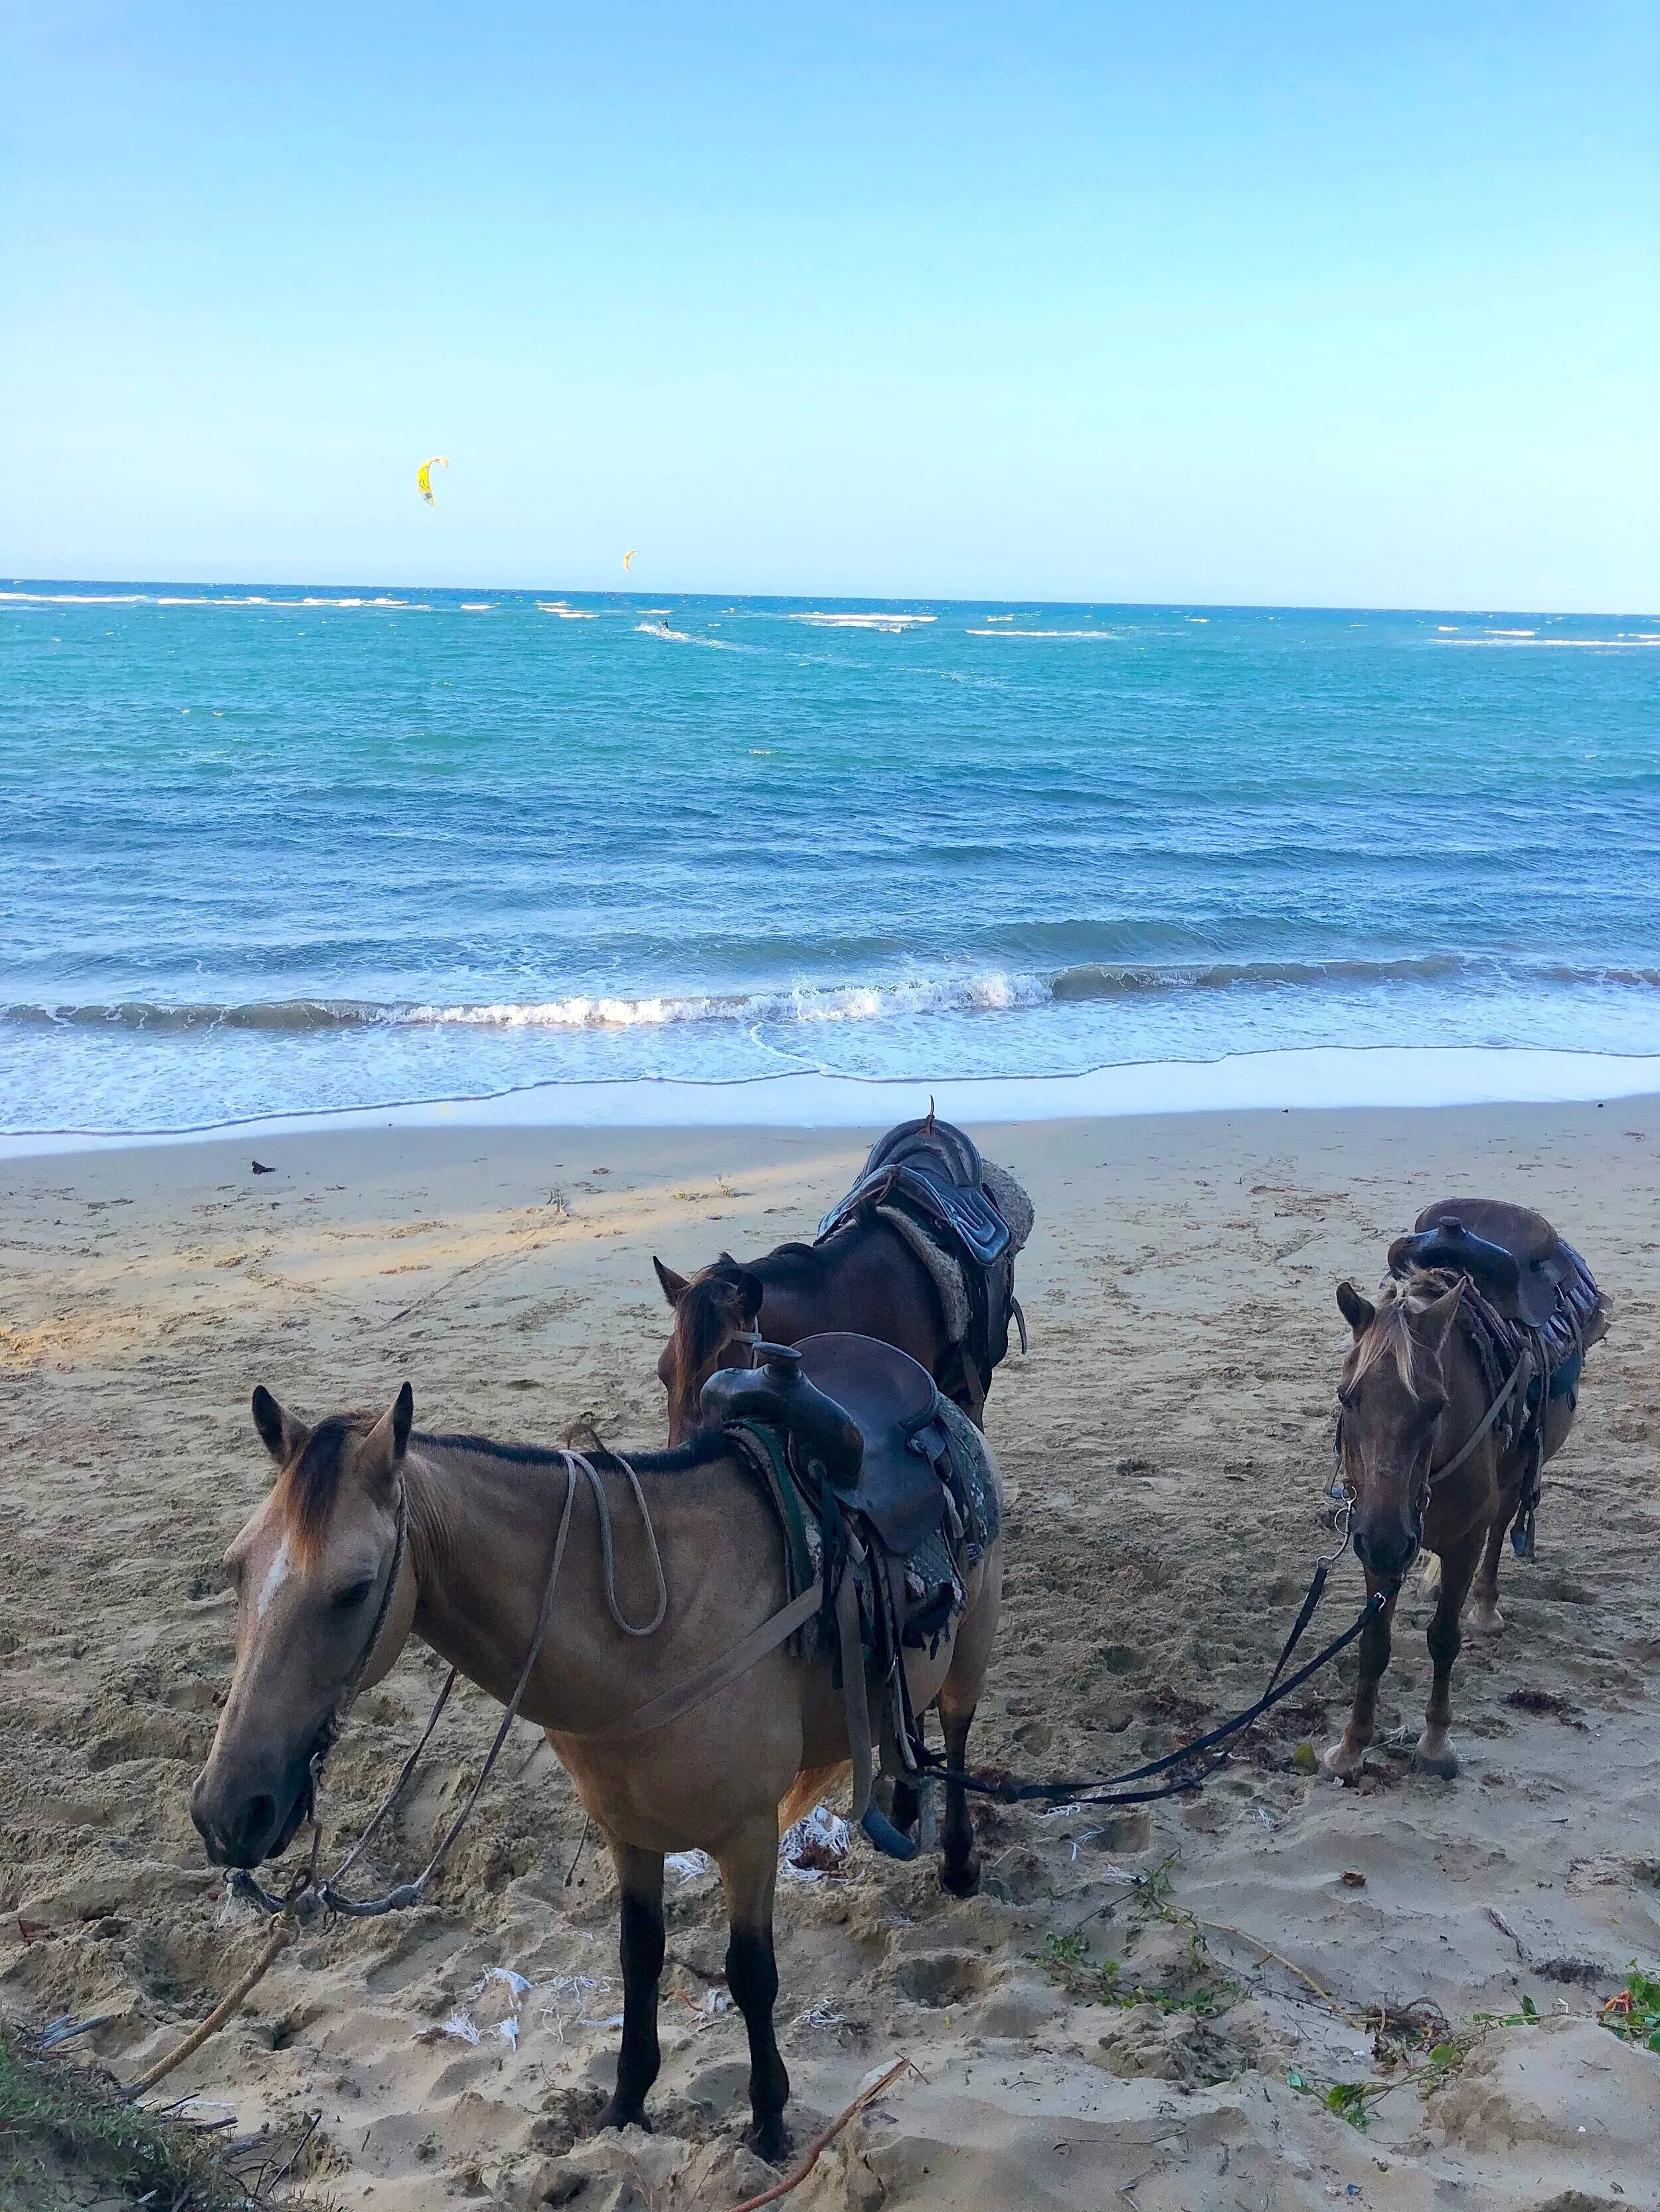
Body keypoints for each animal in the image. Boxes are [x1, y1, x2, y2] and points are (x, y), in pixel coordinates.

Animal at [190, 1382, 1003, 2161]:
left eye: (355, 1588)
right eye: (235, 1569)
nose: (225, 1811)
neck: (653, 1630)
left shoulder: (749, 1835)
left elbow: (751, 1973)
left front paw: (769, 2120)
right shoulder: (626, 1830)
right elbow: (638, 1956)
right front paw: (627, 2101)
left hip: (968, 1654)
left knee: (956, 1732)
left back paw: (957, 1860)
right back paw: (901, 1809)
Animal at [1325, 1235, 1605, 1781]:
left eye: (1437, 1405)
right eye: (1347, 1397)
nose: (1389, 1541)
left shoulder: (1461, 1543)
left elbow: (1443, 1638)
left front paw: (1435, 1744)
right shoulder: (1375, 1545)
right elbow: (1373, 1643)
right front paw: (1352, 1745)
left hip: (1513, 1482)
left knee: (1500, 1535)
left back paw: (1486, 1606)